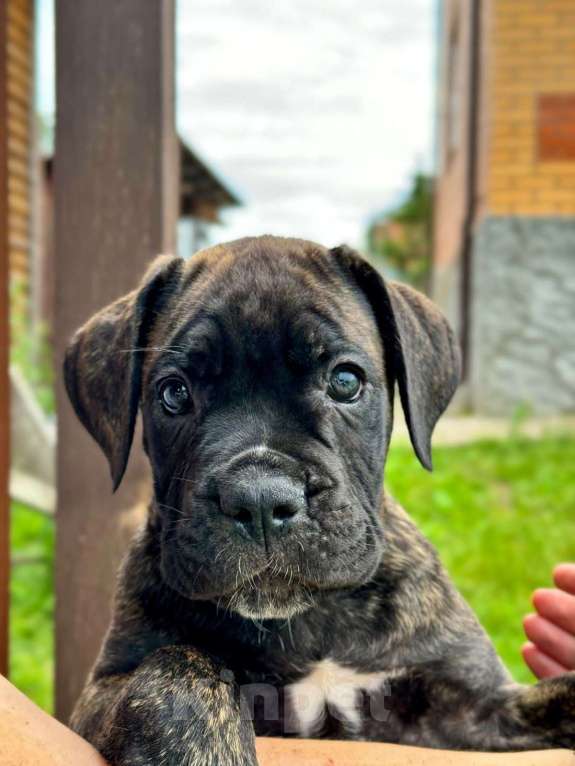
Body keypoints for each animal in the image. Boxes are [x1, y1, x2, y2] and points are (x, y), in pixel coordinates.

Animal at [65, 236, 572, 766]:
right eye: (174, 393)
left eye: (345, 382)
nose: (260, 498)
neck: (309, 621)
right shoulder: (102, 690)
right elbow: (176, 671)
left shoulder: (476, 708)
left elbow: (560, 695)